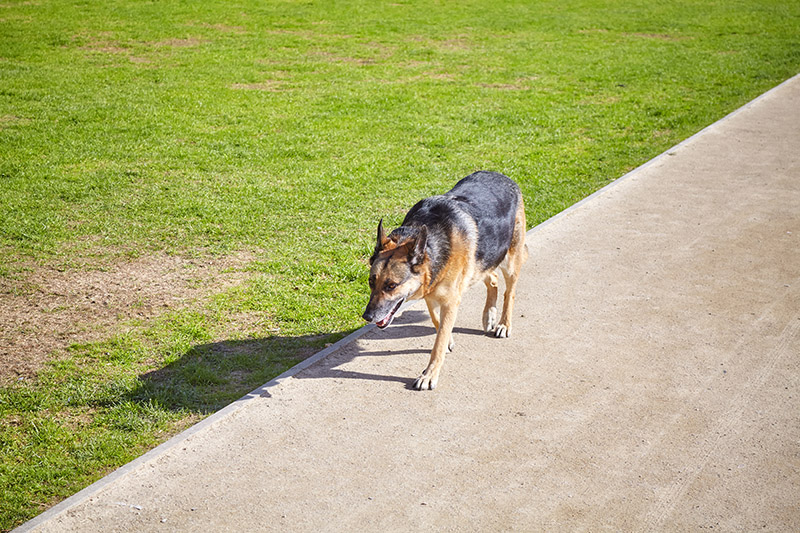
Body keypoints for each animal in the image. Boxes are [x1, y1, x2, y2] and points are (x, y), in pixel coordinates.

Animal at [360, 171, 524, 390]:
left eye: (391, 285)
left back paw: (504, 324)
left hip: (510, 261)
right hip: (483, 261)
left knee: (509, 292)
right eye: (371, 282)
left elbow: (437, 344)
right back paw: (489, 314)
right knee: (493, 279)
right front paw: (447, 340)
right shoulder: (432, 295)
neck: (433, 245)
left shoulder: (450, 302)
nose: (367, 317)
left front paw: (429, 374)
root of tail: (501, 175)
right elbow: (437, 322)